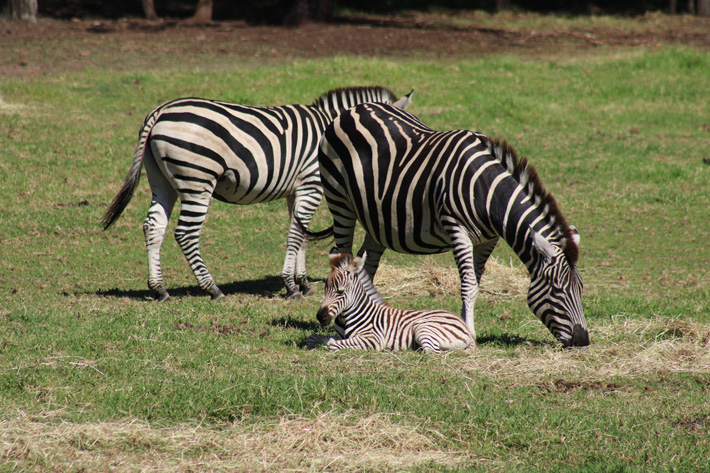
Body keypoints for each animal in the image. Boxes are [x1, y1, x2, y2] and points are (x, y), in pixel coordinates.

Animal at [100, 85, 412, 298]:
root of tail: (161, 111)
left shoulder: (296, 191)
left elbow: (300, 235)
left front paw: (303, 283)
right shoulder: (311, 185)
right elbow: (296, 235)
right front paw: (291, 286)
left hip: (161, 181)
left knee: (154, 226)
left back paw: (159, 289)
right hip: (197, 181)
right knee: (185, 233)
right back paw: (212, 289)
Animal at [304, 249, 476, 352]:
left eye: (340, 291)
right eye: (325, 288)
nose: (321, 317)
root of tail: (463, 324)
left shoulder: (373, 339)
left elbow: (332, 344)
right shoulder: (342, 336)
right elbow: (313, 337)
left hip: (422, 328)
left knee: (432, 352)